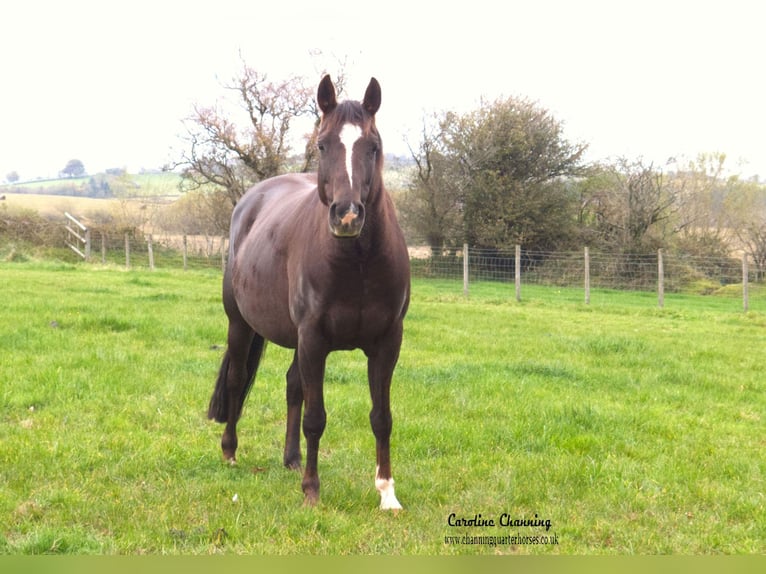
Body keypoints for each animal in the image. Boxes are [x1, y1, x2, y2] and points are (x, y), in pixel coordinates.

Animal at [207, 74, 412, 510]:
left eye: (373, 146)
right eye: (322, 144)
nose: (347, 215)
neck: (358, 265)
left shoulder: (387, 343)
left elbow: (381, 417)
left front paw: (387, 493)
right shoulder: (314, 339)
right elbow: (315, 418)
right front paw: (312, 492)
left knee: (291, 385)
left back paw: (292, 460)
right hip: (240, 324)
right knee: (237, 379)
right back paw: (230, 452)